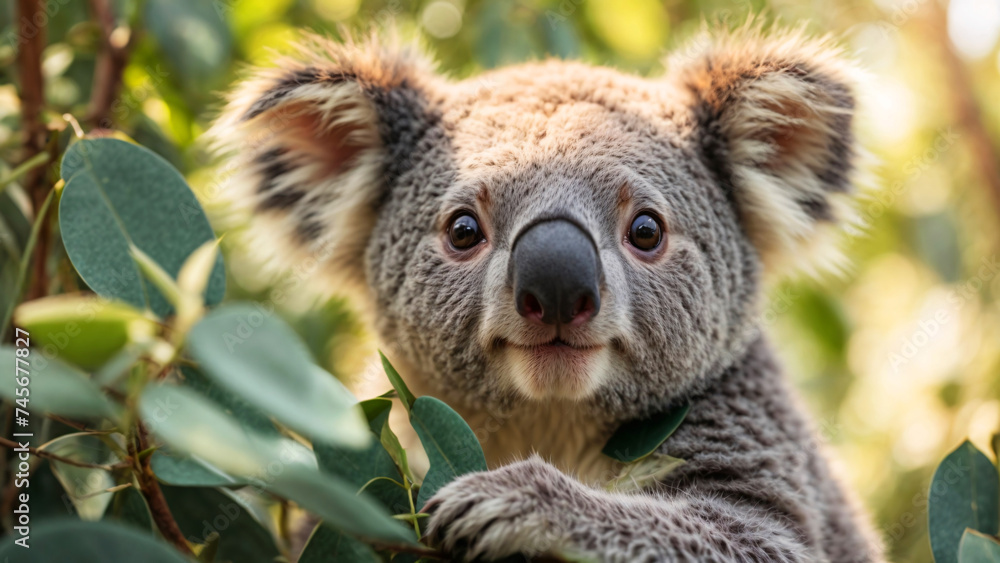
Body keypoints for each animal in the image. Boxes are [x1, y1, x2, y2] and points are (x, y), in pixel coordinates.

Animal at [208, 22, 883, 563]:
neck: (550, 416)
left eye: (647, 231)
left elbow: (747, 537)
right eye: (462, 230)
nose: (558, 289)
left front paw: (501, 502)